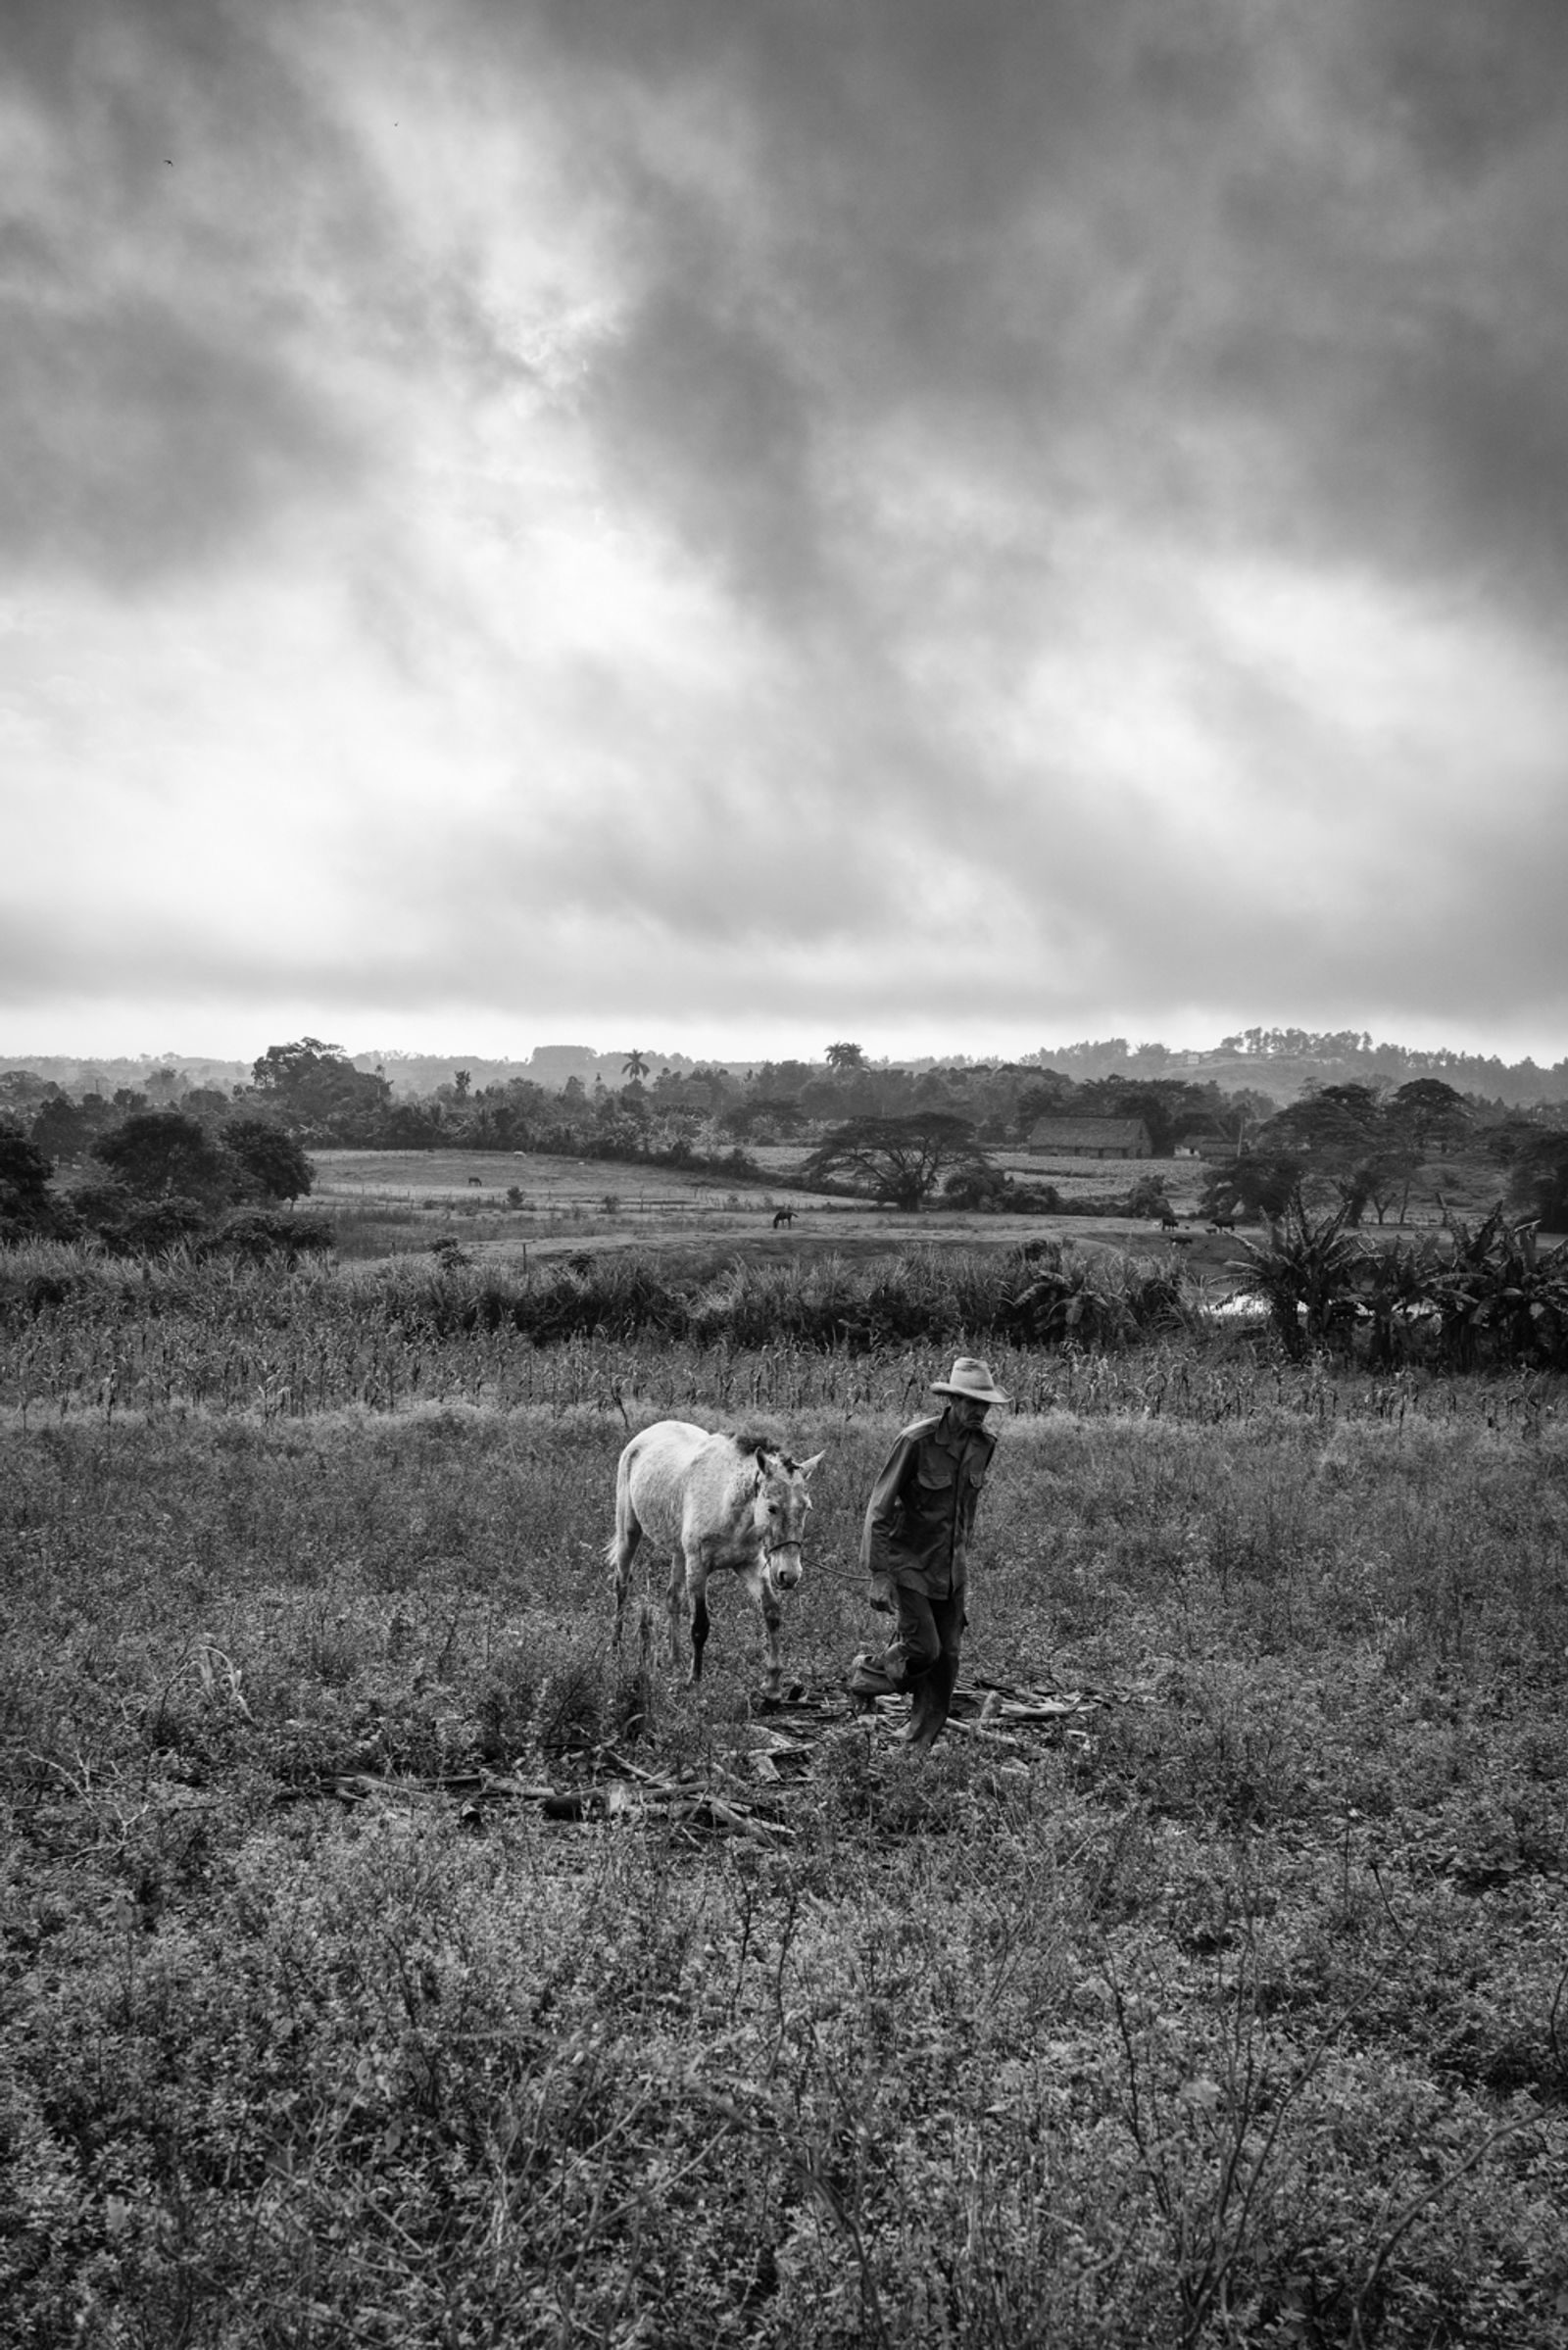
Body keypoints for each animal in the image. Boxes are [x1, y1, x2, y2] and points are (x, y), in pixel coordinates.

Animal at [611, 1419, 827, 1701]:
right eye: (771, 1508)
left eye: (807, 1508)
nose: (789, 1575)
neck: (728, 1503)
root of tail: (646, 1434)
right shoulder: (698, 1567)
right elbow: (700, 1626)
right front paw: (695, 1681)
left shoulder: (750, 1565)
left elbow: (771, 1613)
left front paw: (772, 1684)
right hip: (630, 1532)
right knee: (622, 1585)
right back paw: (616, 1647)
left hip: (679, 1553)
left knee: (673, 1598)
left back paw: (675, 1659)